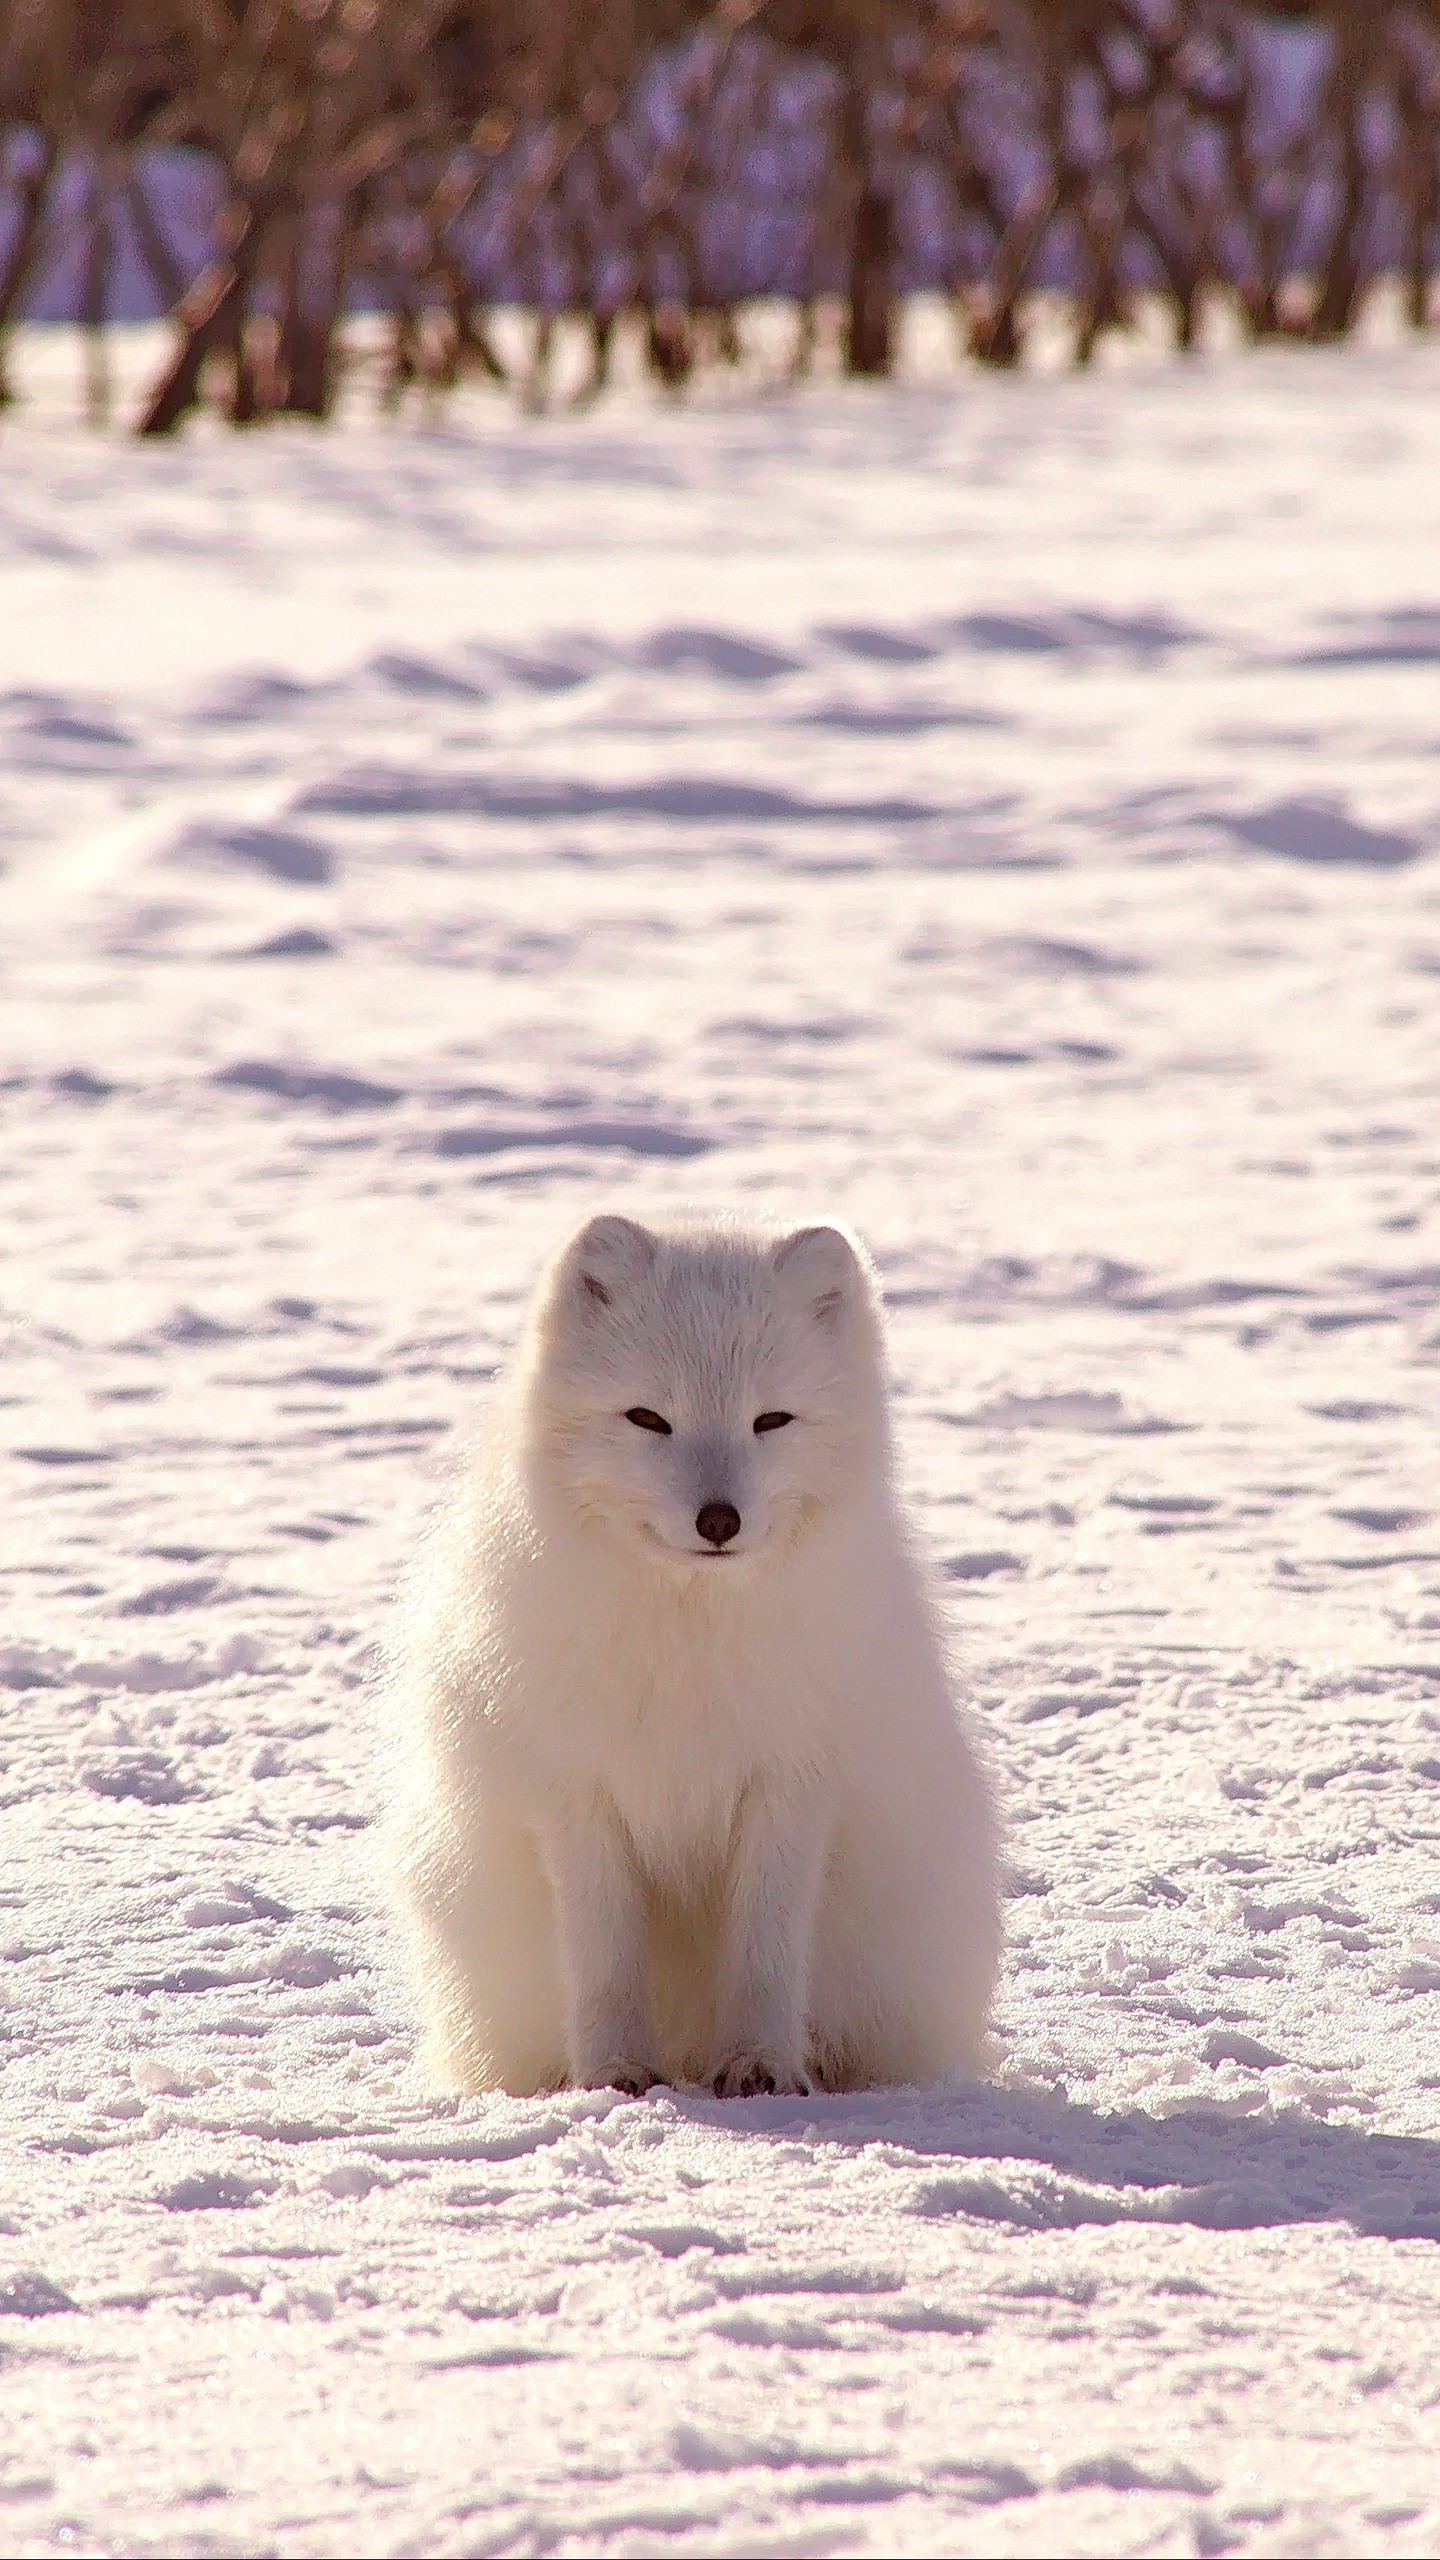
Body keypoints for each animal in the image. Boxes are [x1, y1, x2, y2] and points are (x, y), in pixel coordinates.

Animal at [386, 1218, 1004, 2099]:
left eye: (771, 1420)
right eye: (649, 1418)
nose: (719, 1519)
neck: (689, 1636)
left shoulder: (791, 1786)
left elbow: (765, 1954)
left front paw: (761, 2065)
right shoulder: (575, 1793)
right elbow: (605, 1960)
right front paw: (613, 2074)